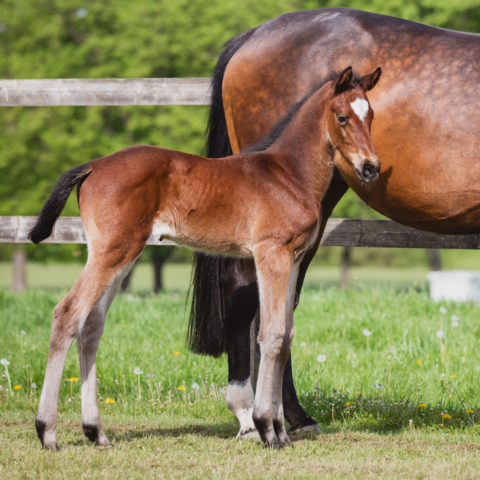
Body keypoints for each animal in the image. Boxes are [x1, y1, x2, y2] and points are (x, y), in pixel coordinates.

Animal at [31, 65, 382, 448]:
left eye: (372, 116)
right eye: (342, 116)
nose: (371, 167)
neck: (288, 173)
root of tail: (93, 166)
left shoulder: (294, 257)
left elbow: (286, 335)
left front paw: (281, 430)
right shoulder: (271, 252)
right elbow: (271, 335)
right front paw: (267, 428)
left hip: (120, 254)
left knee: (91, 325)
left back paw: (96, 432)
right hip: (113, 251)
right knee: (67, 314)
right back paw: (47, 431)